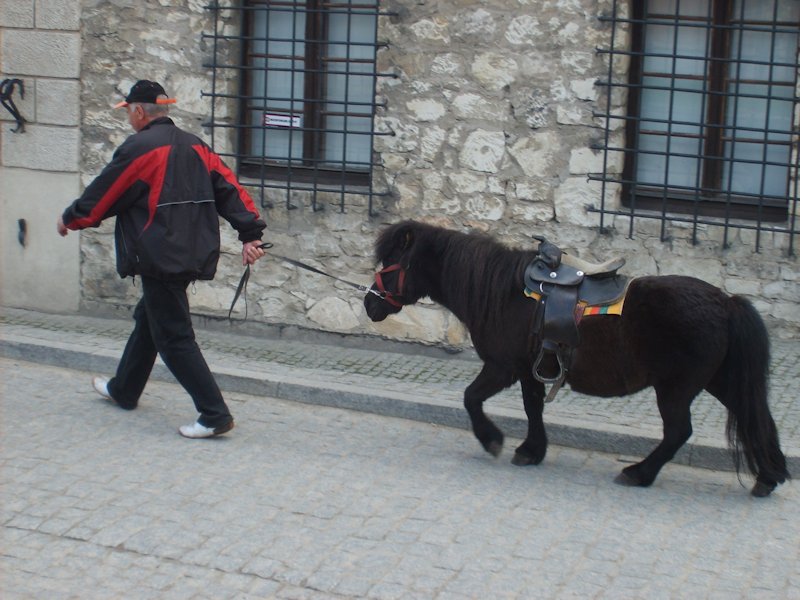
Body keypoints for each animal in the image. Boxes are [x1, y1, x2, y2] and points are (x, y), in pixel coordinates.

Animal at [366, 220, 792, 496]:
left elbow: (472, 398)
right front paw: (532, 450)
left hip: (676, 389)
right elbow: (533, 408)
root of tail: (726, 301)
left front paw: (493, 440)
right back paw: (768, 476)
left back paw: (639, 473)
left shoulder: (502, 367)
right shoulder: (530, 371)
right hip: (717, 380)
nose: (370, 304)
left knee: (678, 432)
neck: (502, 292)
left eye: (392, 263)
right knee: (755, 417)